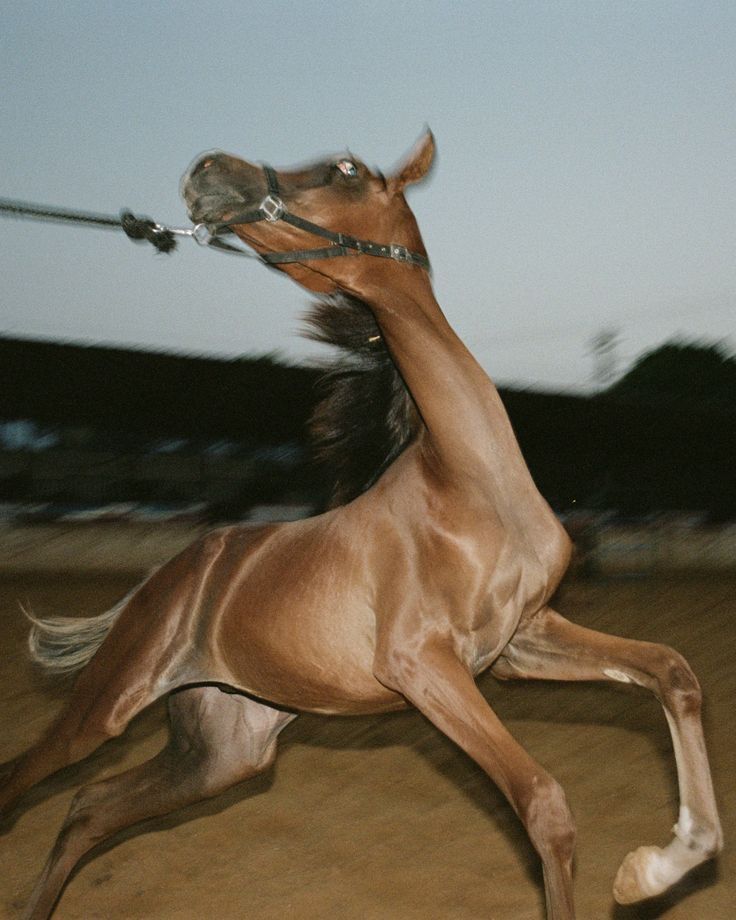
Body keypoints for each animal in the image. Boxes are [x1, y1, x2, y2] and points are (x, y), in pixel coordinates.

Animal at [0, 132, 722, 919]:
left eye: (346, 168)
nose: (206, 172)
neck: (473, 483)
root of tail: (161, 581)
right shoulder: (419, 666)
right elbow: (545, 805)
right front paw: (642, 871)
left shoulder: (519, 643)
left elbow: (673, 671)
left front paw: (657, 867)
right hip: (107, 709)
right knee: (27, 779)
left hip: (225, 748)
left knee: (89, 808)